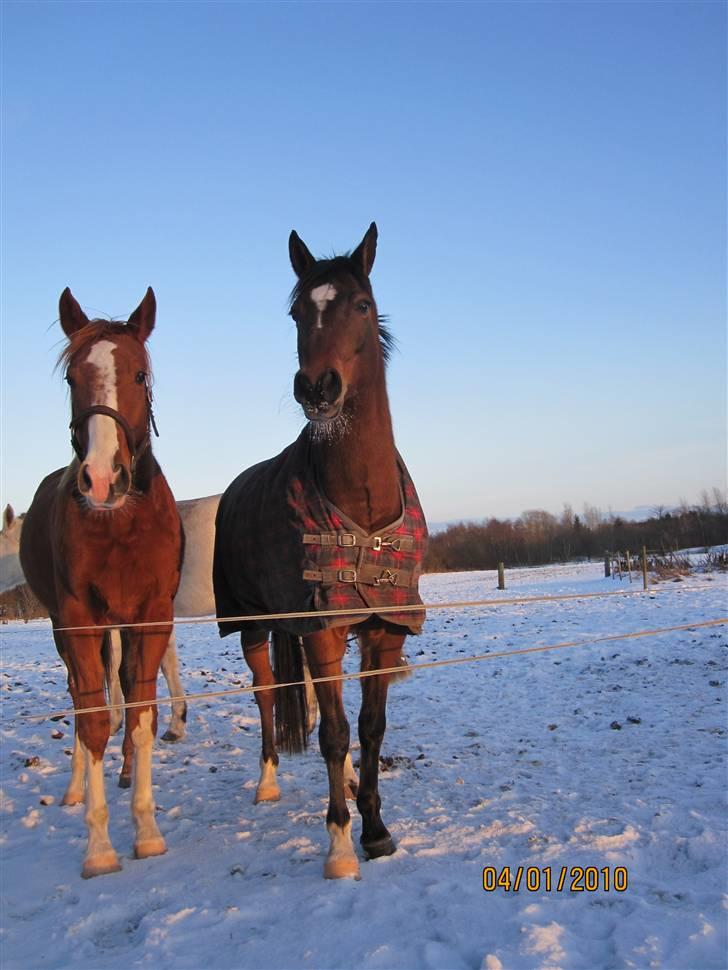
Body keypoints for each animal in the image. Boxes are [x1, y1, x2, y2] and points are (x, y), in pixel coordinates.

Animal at [19, 287, 184, 878]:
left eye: (138, 374)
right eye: (72, 378)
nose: (100, 478)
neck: (120, 525)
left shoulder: (151, 615)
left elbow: (140, 716)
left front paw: (148, 831)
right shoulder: (78, 619)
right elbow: (91, 720)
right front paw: (98, 846)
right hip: (65, 630)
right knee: (79, 696)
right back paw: (75, 789)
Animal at [214, 224, 427, 880]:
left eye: (360, 304)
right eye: (296, 312)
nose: (316, 387)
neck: (361, 504)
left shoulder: (384, 627)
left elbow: (371, 728)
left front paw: (376, 829)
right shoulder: (323, 627)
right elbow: (332, 733)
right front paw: (339, 845)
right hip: (253, 624)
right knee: (265, 696)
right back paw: (267, 782)